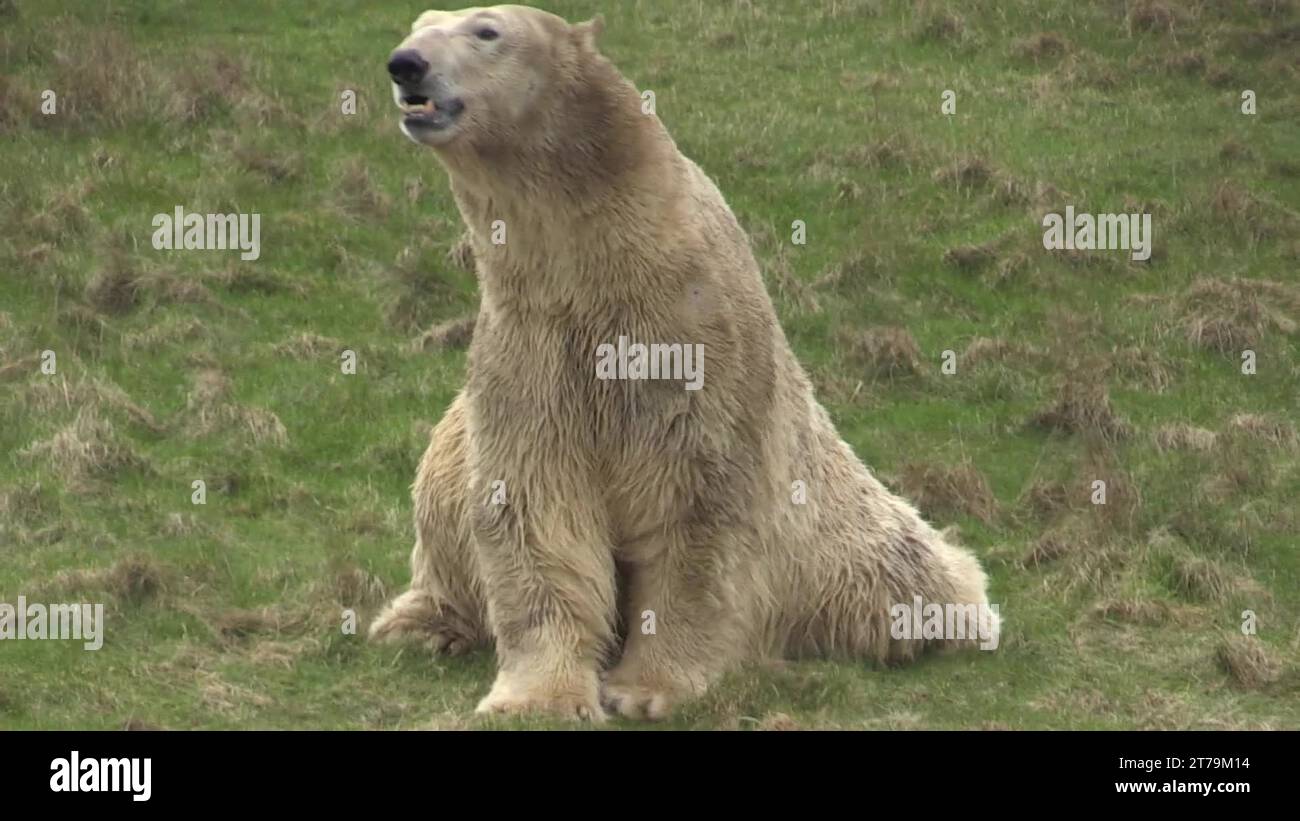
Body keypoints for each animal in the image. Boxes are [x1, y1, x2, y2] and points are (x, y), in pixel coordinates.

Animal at [368, 4, 999, 722]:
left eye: (486, 30)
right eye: (418, 24)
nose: (405, 64)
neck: (597, 267)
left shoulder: (687, 344)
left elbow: (694, 509)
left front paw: (646, 690)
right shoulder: (529, 349)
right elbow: (536, 505)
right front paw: (536, 700)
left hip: (845, 534)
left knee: (903, 572)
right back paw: (419, 624)